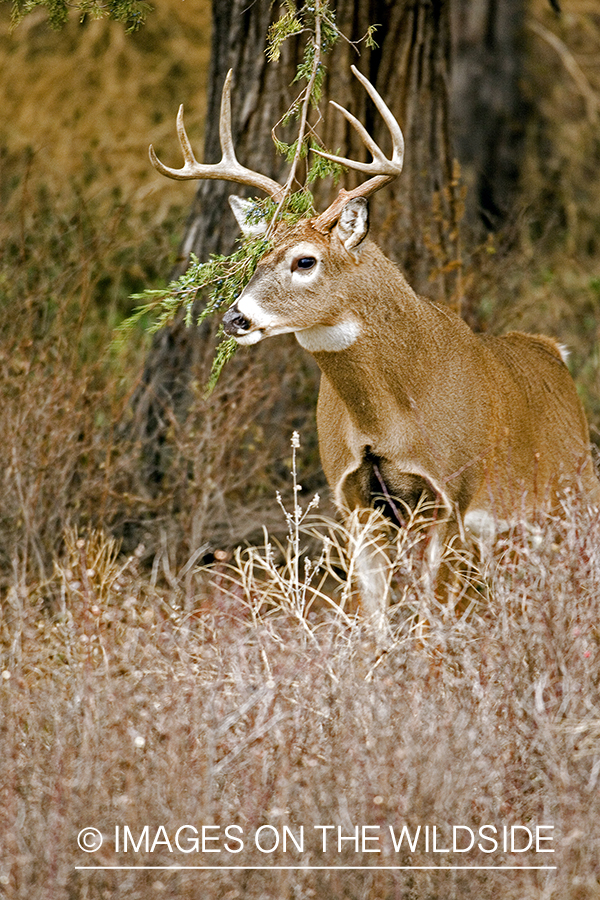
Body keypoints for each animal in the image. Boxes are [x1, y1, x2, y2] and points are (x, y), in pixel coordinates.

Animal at [151, 65, 600, 624]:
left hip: (567, 494)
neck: (389, 415)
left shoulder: (452, 491)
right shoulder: (353, 498)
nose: (236, 317)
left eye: (305, 260)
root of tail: (552, 351)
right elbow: (375, 617)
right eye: (255, 256)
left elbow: (433, 615)